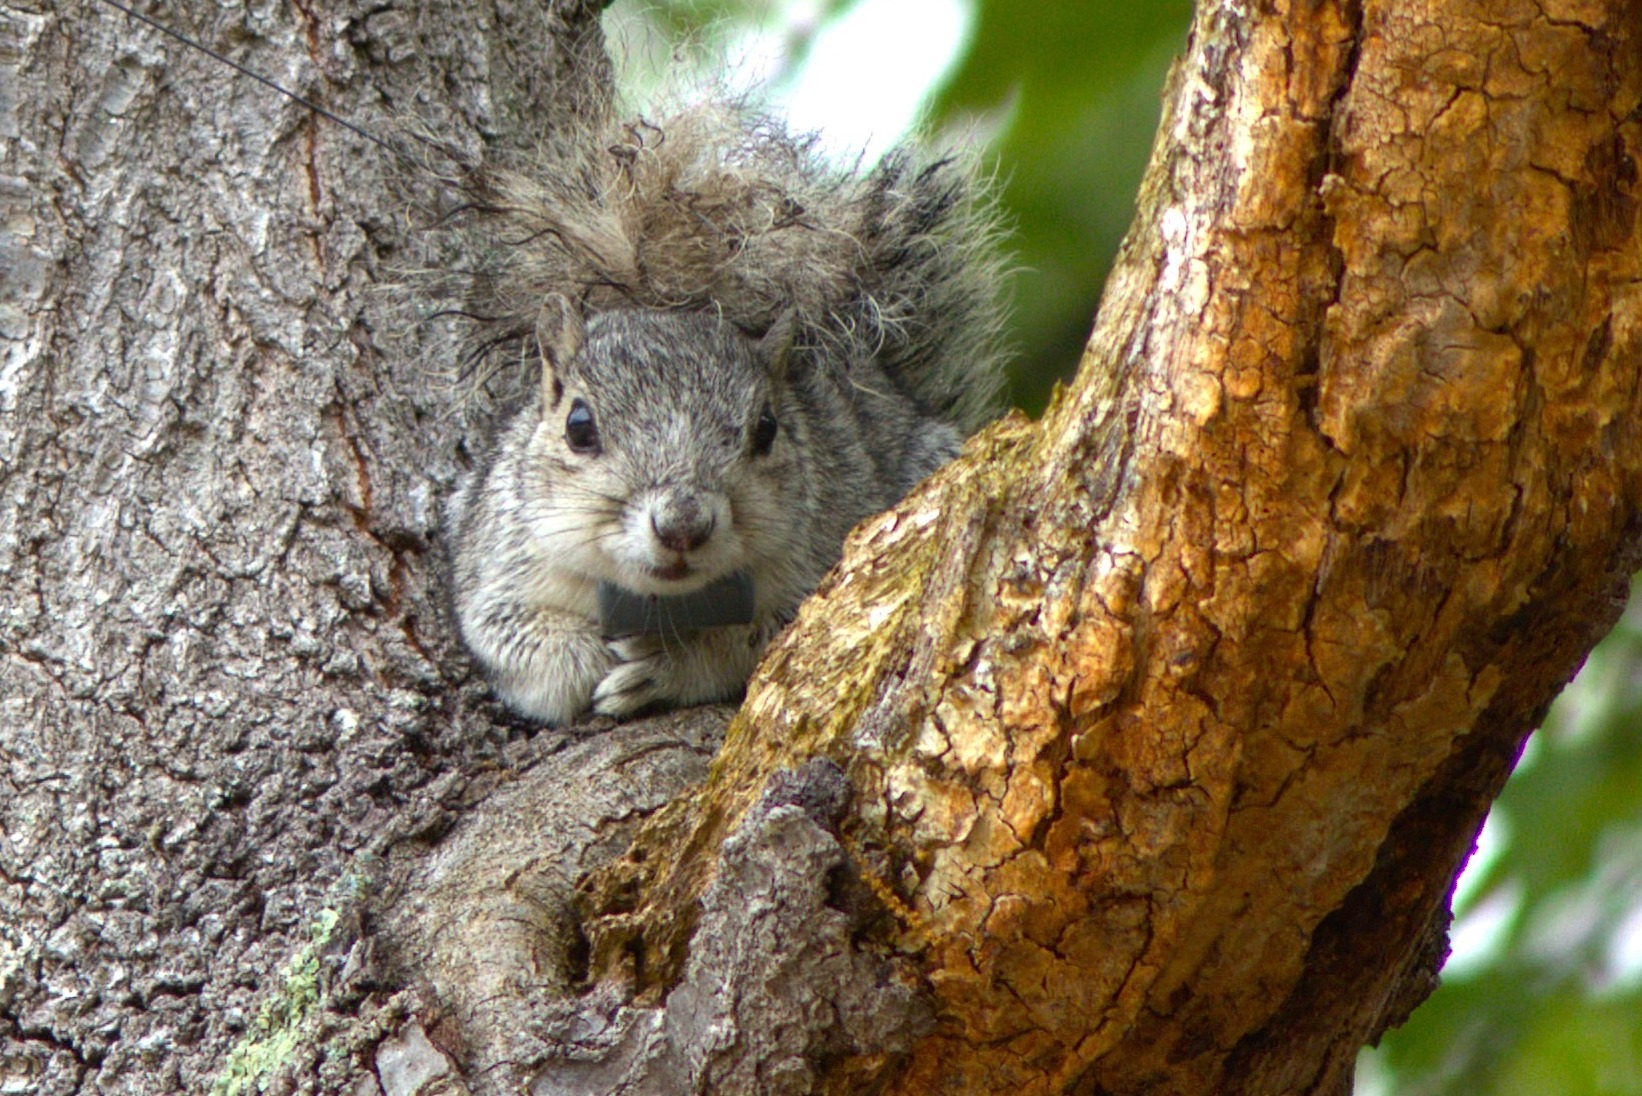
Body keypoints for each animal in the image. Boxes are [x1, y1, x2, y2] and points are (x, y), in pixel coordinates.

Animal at [428, 96, 1012, 725]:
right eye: (578, 427)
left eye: (768, 429)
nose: (683, 525)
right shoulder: (494, 567)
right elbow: (516, 646)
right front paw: (586, 653)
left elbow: (747, 649)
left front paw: (667, 663)